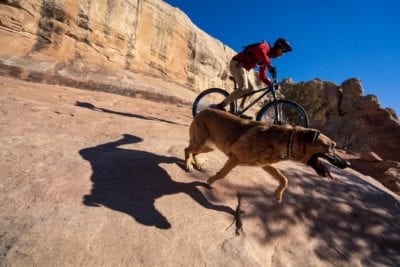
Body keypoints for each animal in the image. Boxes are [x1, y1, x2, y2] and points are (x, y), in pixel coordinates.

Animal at [184, 109, 350, 203]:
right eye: (331, 147)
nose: (347, 164)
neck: (287, 140)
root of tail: (203, 110)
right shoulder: (234, 159)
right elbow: (222, 174)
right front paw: (211, 181)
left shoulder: (265, 165)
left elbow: (284, 179)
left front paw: (278, 194)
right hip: (201, 142)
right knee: (187, 149)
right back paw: (188, 164)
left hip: (209, 147)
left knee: (193, 152)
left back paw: (198, 164)